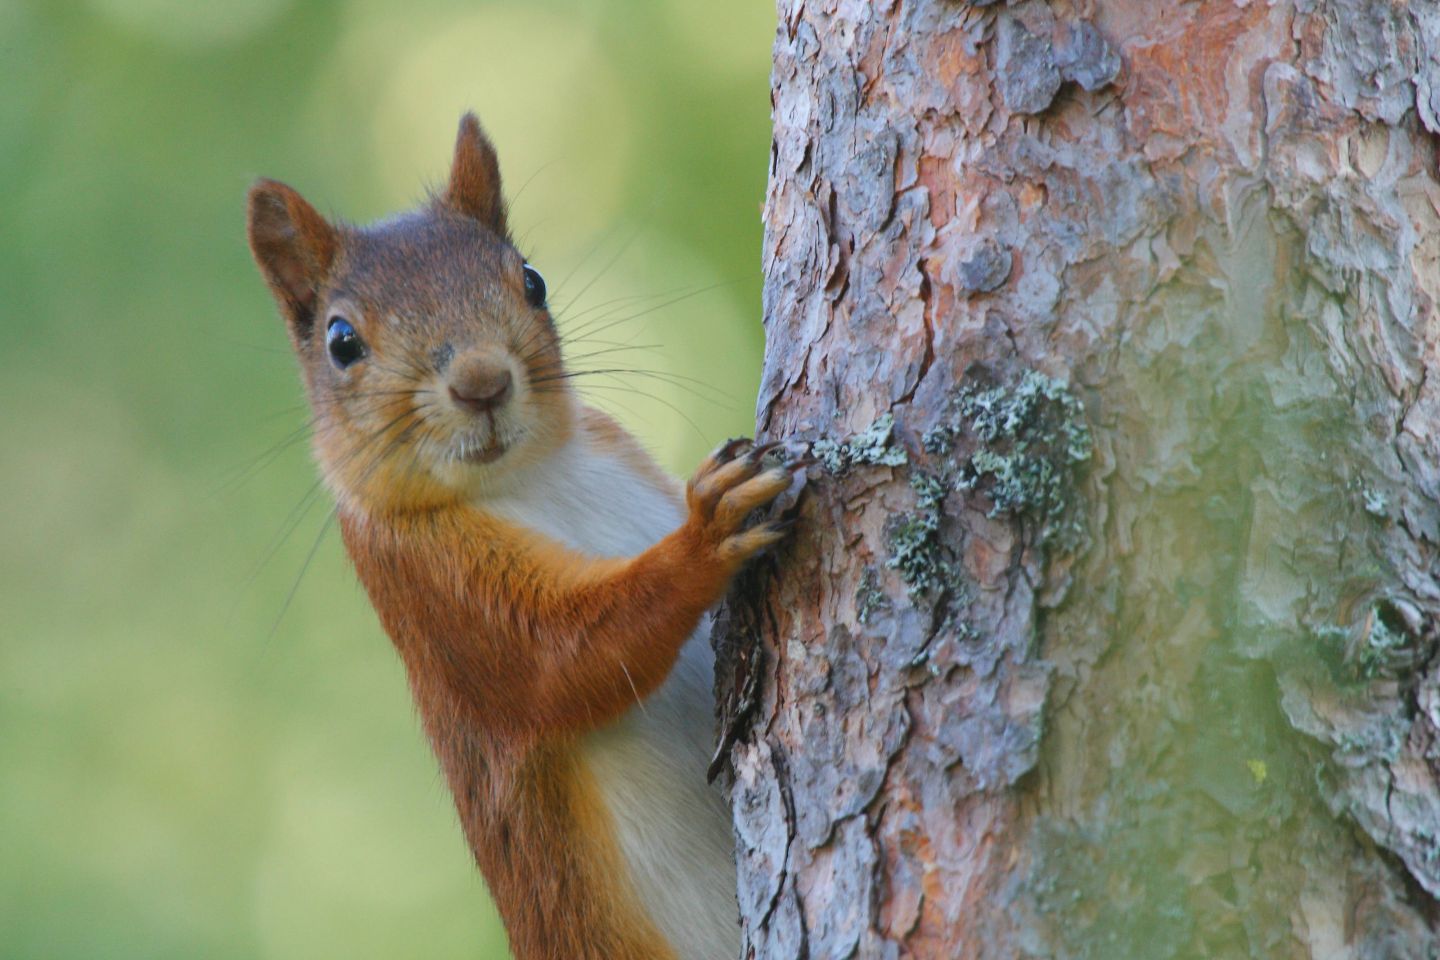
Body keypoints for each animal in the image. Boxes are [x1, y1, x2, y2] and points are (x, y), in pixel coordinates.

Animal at [244, 114, 800, 960]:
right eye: (342, 342)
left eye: (532, 281)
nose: (482, 381)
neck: (534, 477)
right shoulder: (429, 589)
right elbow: (559, 659)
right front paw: (705, 536)